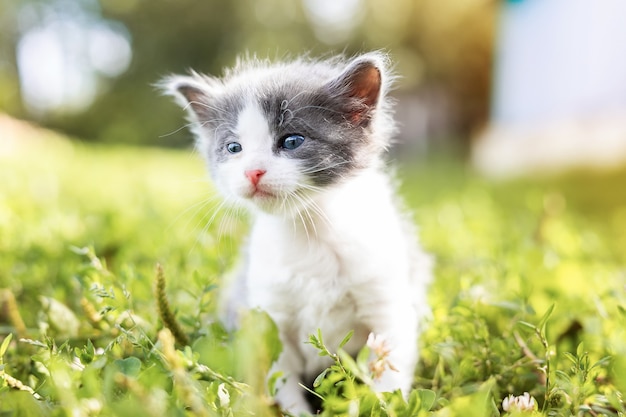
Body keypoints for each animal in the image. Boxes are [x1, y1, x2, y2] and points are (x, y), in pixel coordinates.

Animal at [163, 52, 432, 412]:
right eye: (233, 148)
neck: (309, 230)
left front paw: (379, 405)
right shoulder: (267, 318)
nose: (253, 171)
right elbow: (281, 383)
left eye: (291, 141)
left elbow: (388, 375)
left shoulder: (388, 306)